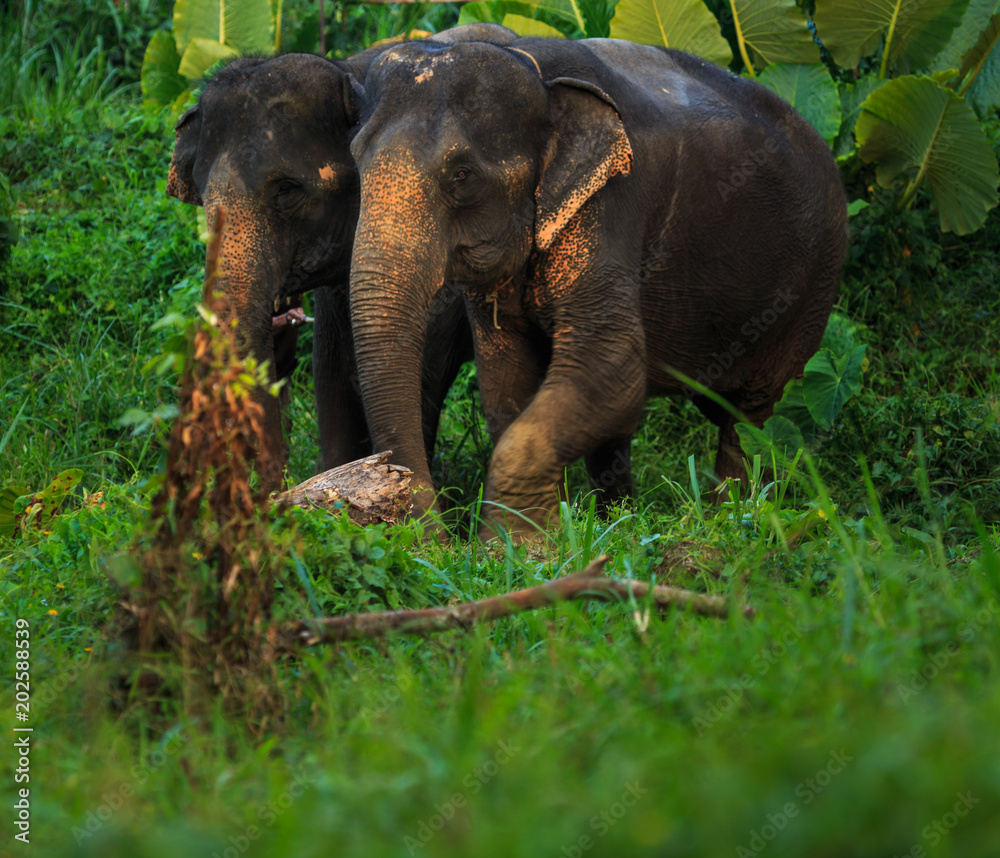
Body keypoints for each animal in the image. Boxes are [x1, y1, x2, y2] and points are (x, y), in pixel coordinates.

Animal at [347, 36, 849, 538]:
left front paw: (516, 543)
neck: (534, 68)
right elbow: (506, 381)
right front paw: (547, 533)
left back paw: (736, 517)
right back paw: (621, 518)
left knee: (750, 419)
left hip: (811, 289)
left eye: (461, 174)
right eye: (355, 157)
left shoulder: (615, 200)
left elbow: (613, 364)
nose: (438, 538)